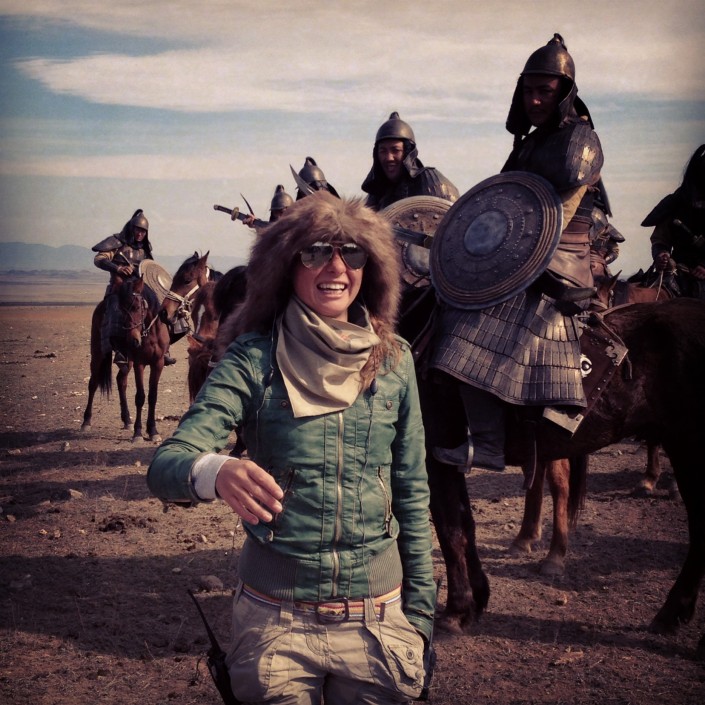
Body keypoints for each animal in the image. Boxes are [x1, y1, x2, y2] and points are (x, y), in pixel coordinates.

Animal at [424, 298, 705, 650]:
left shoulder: (435, 456)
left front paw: (457, 610)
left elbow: (451, 530)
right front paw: (475, 600)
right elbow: (464, 524)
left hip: (687, 448)